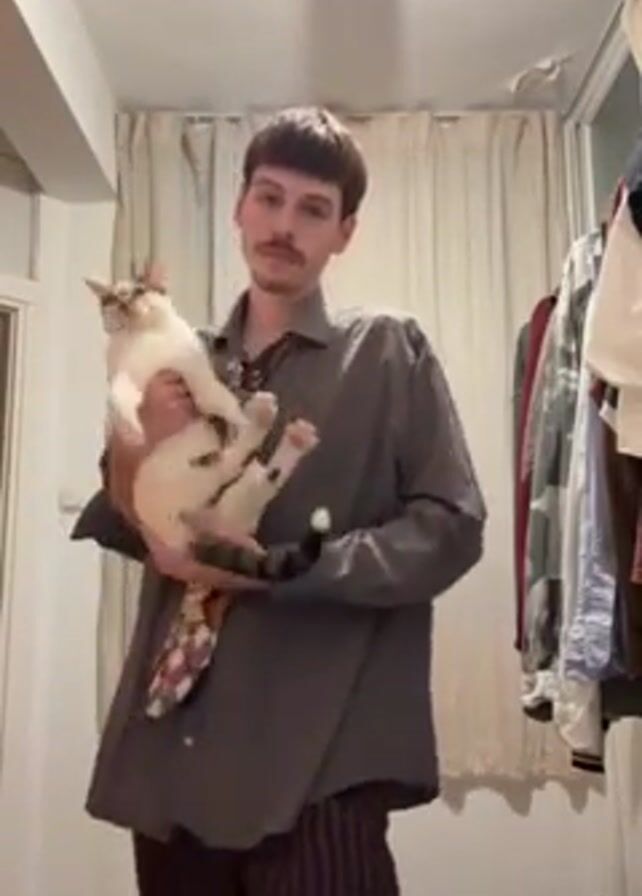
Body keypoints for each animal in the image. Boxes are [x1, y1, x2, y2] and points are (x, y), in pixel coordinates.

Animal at [84, 267, 331, 581]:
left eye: (139, 291)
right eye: (113, 299)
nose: (125, 305)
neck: (146, 336)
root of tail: (194, 534)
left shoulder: (197, 375)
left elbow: (221, 399)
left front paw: (236, 415)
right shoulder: (124, 377)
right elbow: (118, 397)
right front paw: (130, 429)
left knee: (245, 470)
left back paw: (272, 422)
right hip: (191, 479)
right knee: (242, 471)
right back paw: (282, 427)